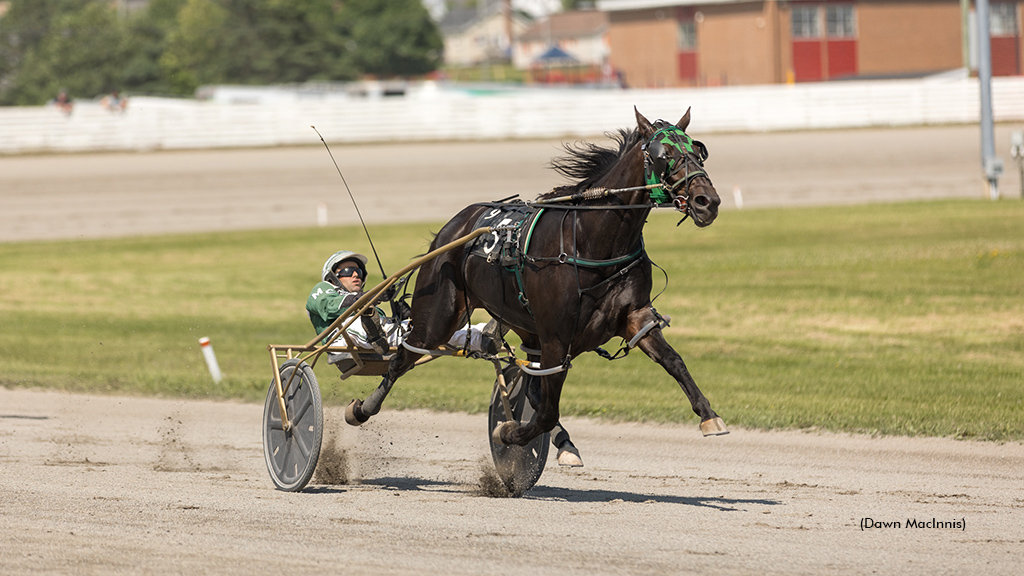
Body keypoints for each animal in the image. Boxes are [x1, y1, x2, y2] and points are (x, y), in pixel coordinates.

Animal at [346, 107, 729, 446]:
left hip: (521, 322)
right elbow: (545, 412)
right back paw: (362, 409)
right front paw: (508, 433)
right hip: (439, 312)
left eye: (698, 150)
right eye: (665, 155)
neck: (590, 241)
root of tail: (455, 225)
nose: (707, 201)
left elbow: (673, 360)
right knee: (403, 357)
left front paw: (709, 416)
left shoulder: (635, 317)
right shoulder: (556, 337)